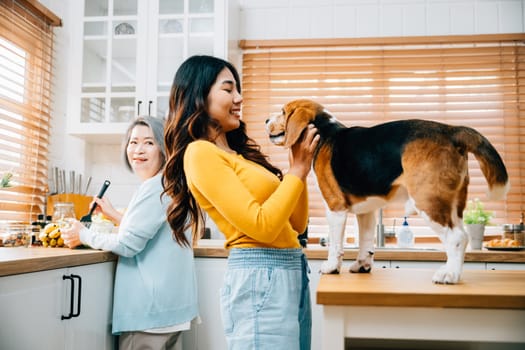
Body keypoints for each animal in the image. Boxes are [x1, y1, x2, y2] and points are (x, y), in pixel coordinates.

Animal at [266, 98, 508, 284]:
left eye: (283, 111)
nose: (266, 120)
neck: (326, 133)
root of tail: (451, 131)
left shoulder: (335, 208)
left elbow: (335, 245)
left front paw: (331, 267)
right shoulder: (366, 211)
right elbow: (366, 242)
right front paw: (362, 265)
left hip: (427, 201)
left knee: (457, 238)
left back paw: (449, 276)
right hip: (451, 203)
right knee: (461, 235)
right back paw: (454, 272)